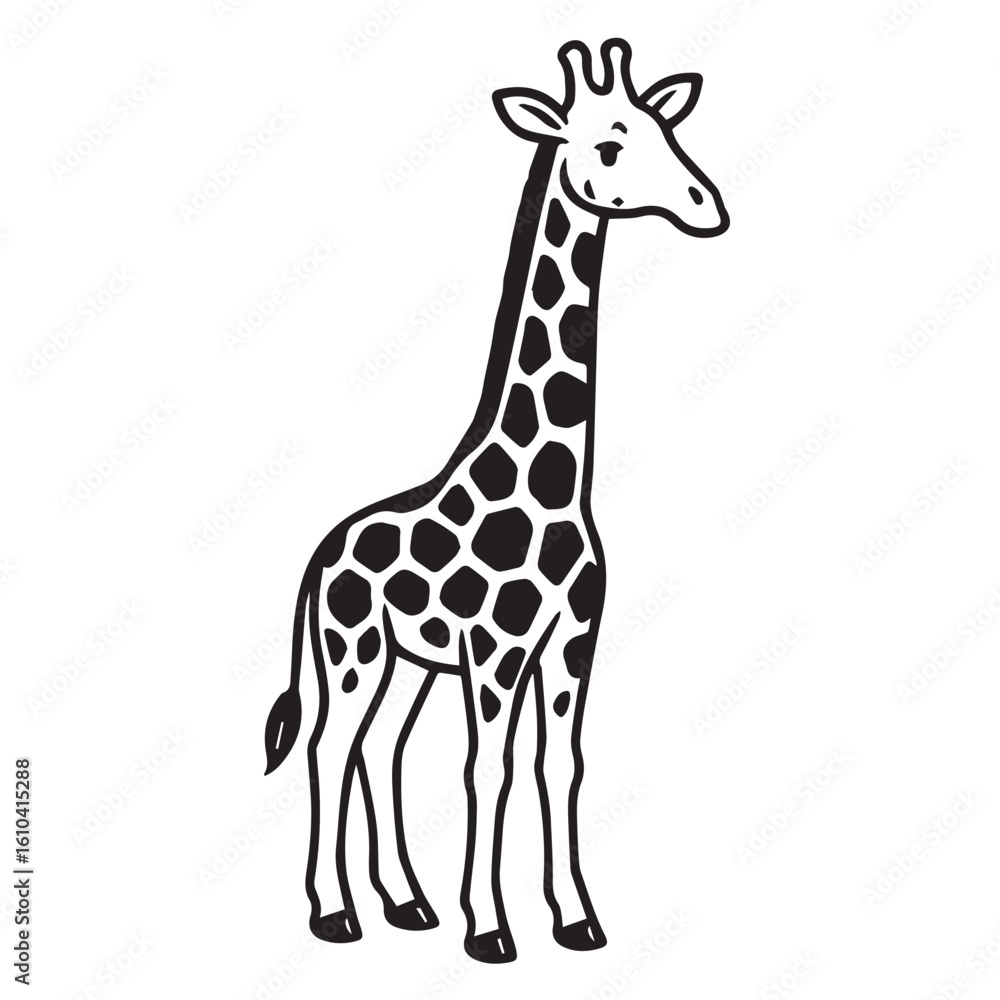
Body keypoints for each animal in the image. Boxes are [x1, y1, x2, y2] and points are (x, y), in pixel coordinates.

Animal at [264, 37, 728, 964]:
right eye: (610, 145)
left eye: (666, 128)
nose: (707, 205)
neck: (553, 486)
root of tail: (322, 554)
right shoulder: (495, 649)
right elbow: (490, 768)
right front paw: (491, 929)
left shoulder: (573, 639)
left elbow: (562, 765)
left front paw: (577, 919)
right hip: (351, 647)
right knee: (331, 747)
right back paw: (335, 914)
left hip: (407, 662)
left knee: (379, 749)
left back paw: (406, 904)